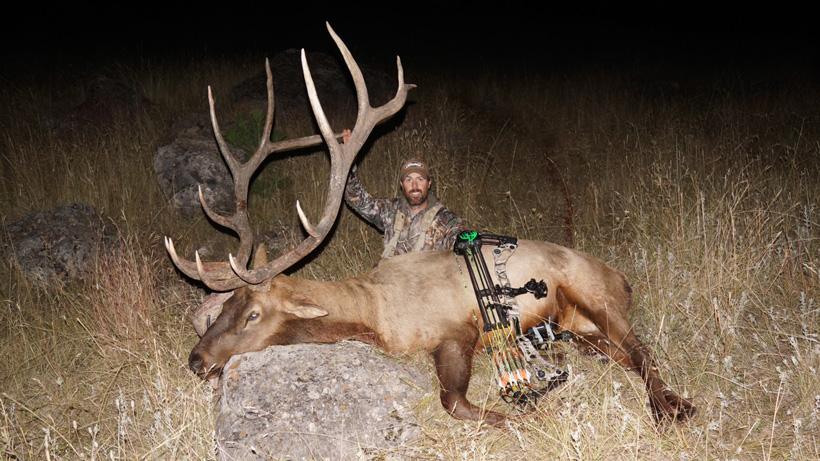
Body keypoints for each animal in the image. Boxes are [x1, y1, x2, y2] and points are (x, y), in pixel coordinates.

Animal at [164, 23, 695, 427]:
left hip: (595, 296)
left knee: (643, 352)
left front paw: (528, 416)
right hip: (582, 331)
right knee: (622, 354)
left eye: (253, 314)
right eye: (225, 306)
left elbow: (453, 399)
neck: (377, 314)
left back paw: (674, 407)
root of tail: (623, 278)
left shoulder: (456, 329)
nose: (196, 360)